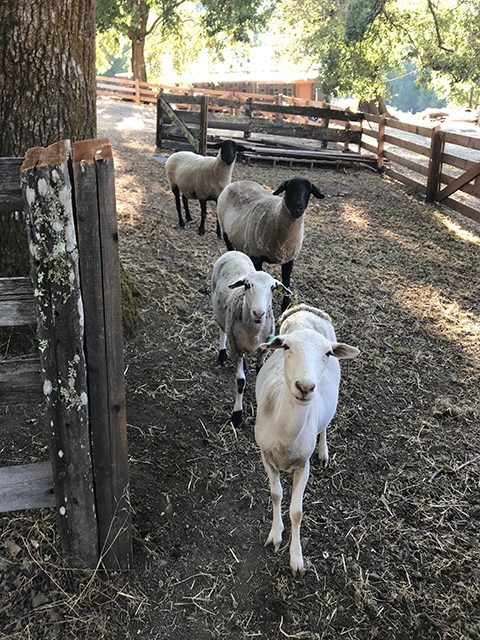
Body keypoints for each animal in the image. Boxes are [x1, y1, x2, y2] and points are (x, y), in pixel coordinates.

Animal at [211, 251, 289, 427]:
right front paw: (237, 415)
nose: (258, 313)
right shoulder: (235, 347)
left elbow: (261, 373)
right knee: (222, 330)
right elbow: (240, 381)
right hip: (219, 312)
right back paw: (222, 354)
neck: (253, 330)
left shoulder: (263, 350)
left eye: (273, 288)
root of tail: (234, 251)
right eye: (247, 285)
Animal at [216, 178, 325, 311]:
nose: (298, 207)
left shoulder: (289, 258)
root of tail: (237, 182)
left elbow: (286, 282)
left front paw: (285, 306)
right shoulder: (256, 256)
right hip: (225, 230)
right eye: (289, 187)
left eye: (309, 190)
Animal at [254, 304, 359, 575]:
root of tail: (307, 310)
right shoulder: (266, 456)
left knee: (325, 425)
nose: (305, 386)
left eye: (327, 353)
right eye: (286, 347)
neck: (286, 436)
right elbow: (276, 494)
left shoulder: (304, 465)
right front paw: (275, 536)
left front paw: (296, 559)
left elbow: (297, 512)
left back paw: (323, 451)